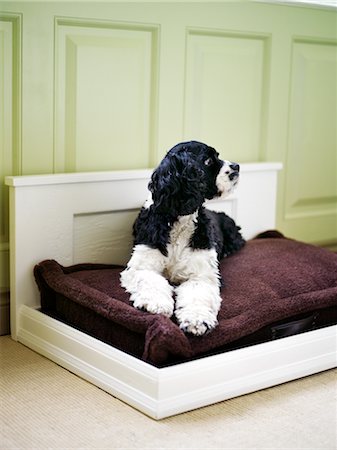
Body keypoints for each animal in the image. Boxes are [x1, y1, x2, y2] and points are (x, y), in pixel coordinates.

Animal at [121, 141, 244, 334]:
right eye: (208, 161)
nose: (236, 166)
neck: (179, 220)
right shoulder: (142, 265)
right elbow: (151, 280)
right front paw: (156, 304)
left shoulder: (202, 274)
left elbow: (197, 293)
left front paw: (197, 320)